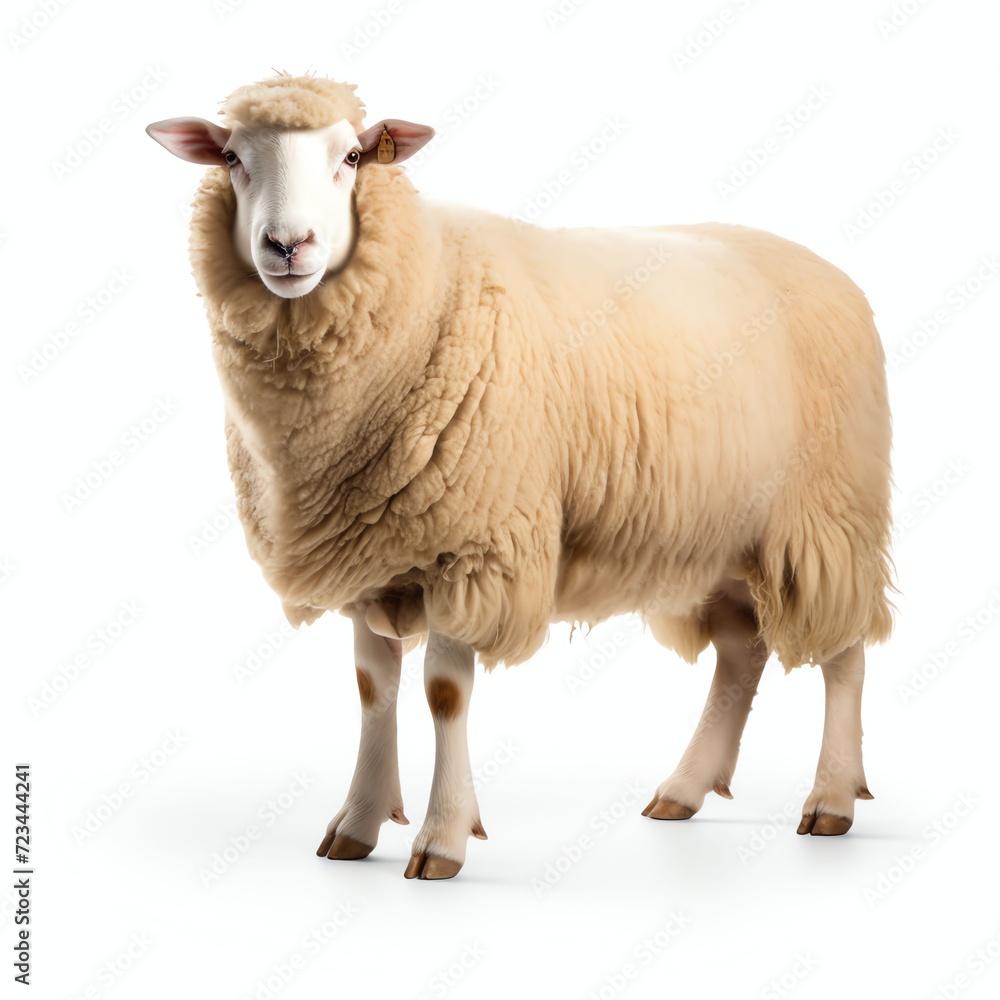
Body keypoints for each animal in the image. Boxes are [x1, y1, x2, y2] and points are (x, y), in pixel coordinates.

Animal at [146, 72, 894, 880]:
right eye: (231, 157)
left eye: (350, 156)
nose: (288, 245)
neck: (425, 293)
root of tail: (827, 268)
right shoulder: (371, 553)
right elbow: (374, 688)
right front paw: (358, 824)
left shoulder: (472, 547)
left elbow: (444, 694)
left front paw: (441, 838)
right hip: (720, 530)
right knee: (740, 651)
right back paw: (686, 788)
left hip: (829, 515)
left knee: (845, 653)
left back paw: (832, 801)